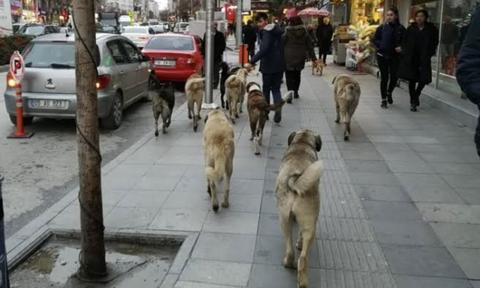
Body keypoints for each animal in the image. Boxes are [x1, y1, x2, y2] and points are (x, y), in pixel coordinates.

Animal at [274, 129, 322, 288]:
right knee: (303, 257)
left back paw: (289, 263)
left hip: (284, 220)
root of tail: (295, 181)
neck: (302, 143)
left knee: (290, 249)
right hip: (309, 223)